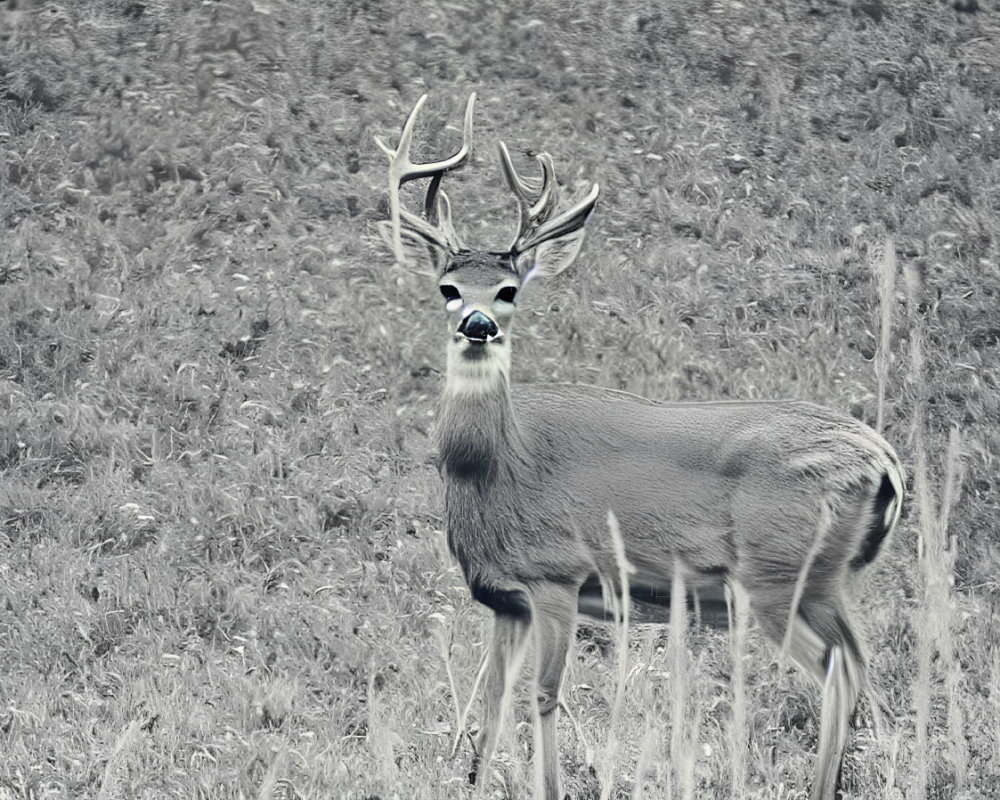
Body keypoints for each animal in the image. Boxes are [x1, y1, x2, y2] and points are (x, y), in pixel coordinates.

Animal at [376, 95, 908, 800]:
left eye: (509, 289)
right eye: (448, 287)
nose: (478, 324)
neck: (491, 466)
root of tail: (886, 462)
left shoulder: (557, 575)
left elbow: (543, 696)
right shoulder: (504, 598)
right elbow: (488, 704)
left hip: (778, 575)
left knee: (837, 673)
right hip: (825, 582)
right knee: (861, 664)